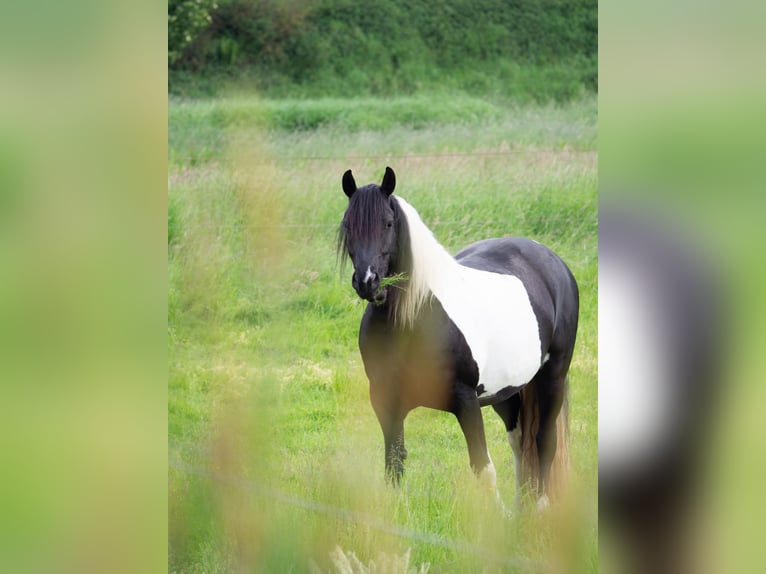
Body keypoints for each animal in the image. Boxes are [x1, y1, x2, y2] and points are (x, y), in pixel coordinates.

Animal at [340, 166, 580, 508]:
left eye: (388, 223)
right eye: (348, 225)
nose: (367, 282)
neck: (412, 322)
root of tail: (552, 261)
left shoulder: (465, 402)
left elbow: (483, 467)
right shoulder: (385, 400)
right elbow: (394, 462)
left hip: (552, 378)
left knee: (543, 442)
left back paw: (539, 507)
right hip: (506, 393)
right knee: (520, 443)